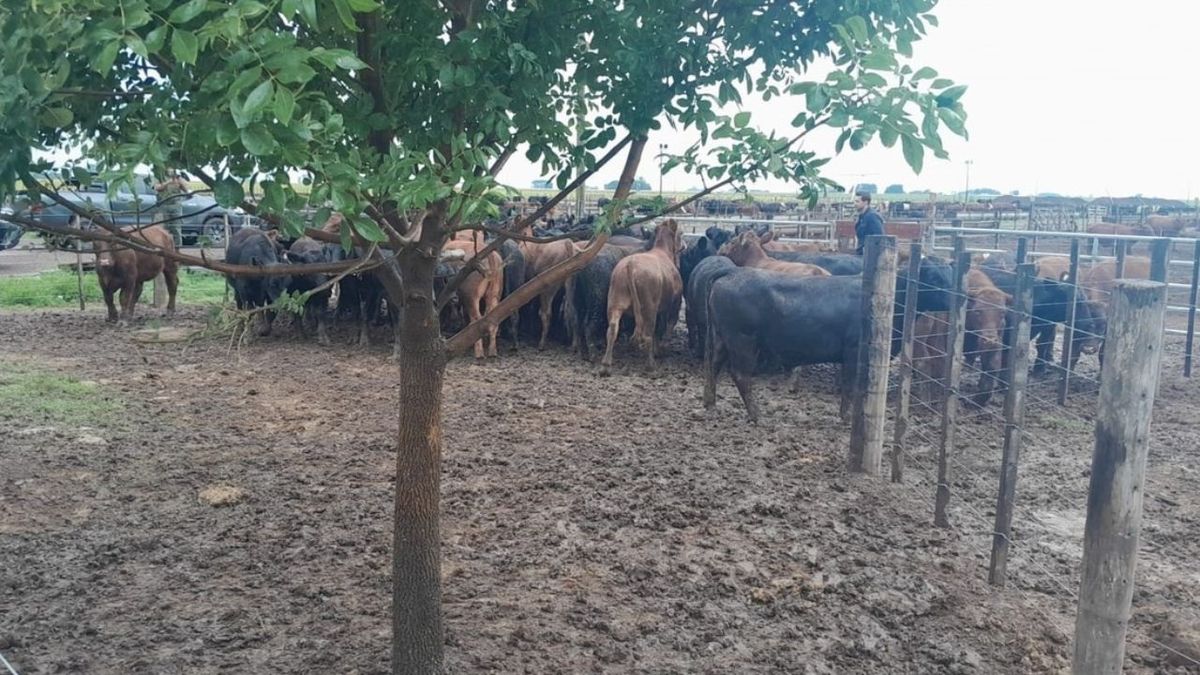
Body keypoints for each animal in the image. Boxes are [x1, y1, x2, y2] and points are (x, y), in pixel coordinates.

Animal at [600, 219, 685, 375]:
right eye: (681, 233)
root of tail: (630, 264)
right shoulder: (674, 304)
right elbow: (667, 326)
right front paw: (662, 349)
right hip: (648, 307)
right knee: (647, 334)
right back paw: (651, 365)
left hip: (615, 302)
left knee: (612, 329)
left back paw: (605, 365)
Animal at [704, 255, 955, 422]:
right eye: (934, 278)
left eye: (949, 276)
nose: (958, 297)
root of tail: (734, 272)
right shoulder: (854, 352)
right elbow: (851, 386)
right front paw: (846, 417)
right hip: (742, 340)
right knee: (740, 375)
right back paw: (756, 415)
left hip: (722, 338)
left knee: (713, 365)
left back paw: (710, 403)